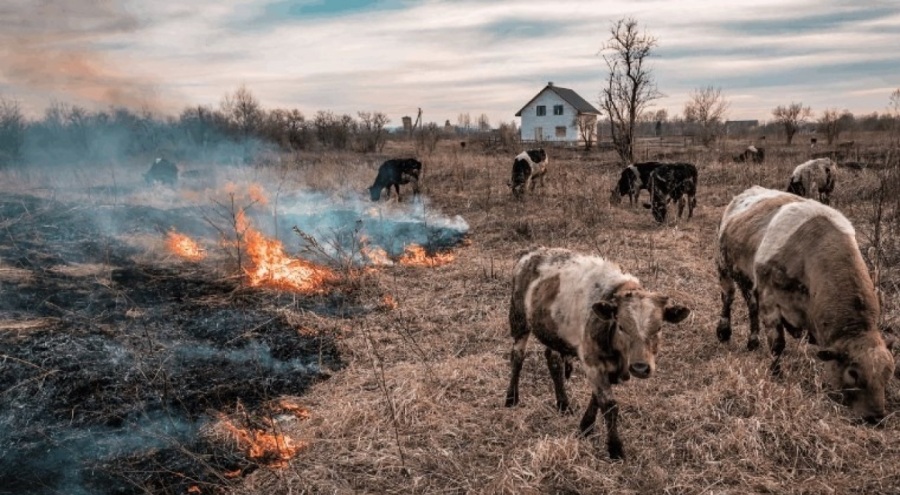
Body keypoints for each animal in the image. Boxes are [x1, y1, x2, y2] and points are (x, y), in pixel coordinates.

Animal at [506, 248, 688, 462]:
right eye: (621, 326)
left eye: (659, 328)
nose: (640, 367)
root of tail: (532, 253)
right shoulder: (592, 362)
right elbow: (609, 405)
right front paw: (615, 448)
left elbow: (596, 399)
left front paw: (585, 427)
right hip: (518, 319)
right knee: (517, 357)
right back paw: (511, 398)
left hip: (553, 331)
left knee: (553, 361)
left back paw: (563, 404)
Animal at [716, 186, 892, 422]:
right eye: (853, 373)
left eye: (888, 372)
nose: (876, 415)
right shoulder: (770, 300)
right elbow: (777, 344)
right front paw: (776, 374)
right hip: (723, 266)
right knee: (728, 297)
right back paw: (724, 331)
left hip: (747, 281)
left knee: (751, 306)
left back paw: (753, 341)